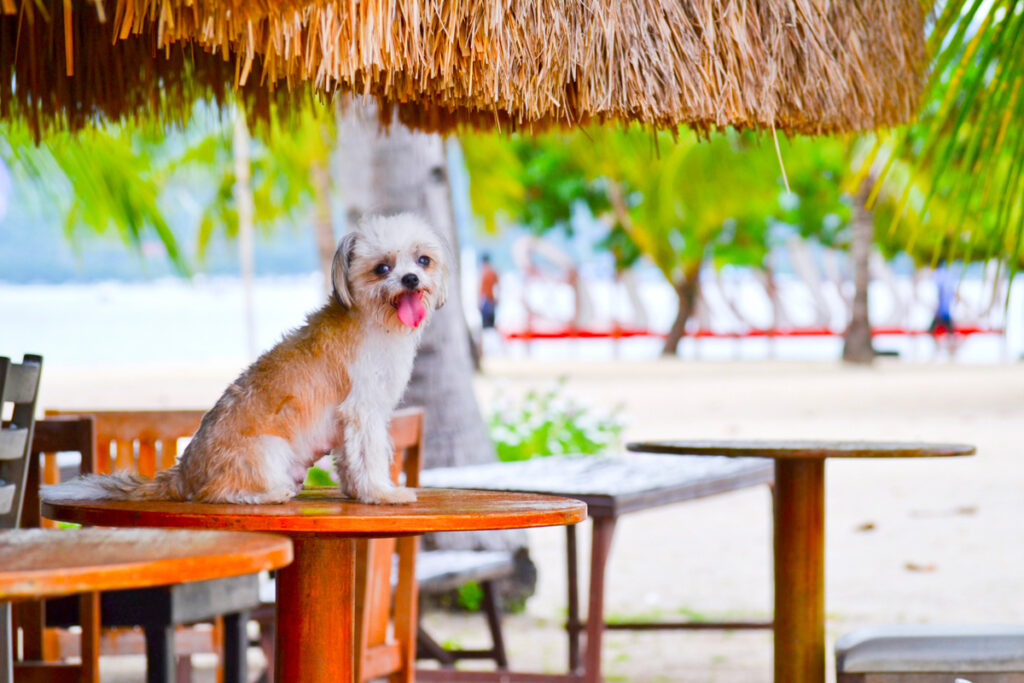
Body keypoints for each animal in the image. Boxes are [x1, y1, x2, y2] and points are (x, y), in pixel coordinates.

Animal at [41, 215, 448, 507]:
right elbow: (370, 456)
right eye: (382, 268)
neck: (371, 319)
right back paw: (269, 494)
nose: (411, 278)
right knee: (218, 493)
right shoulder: (363, 412)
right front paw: (382, 492)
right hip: (269, 450)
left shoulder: (353, 420)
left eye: (423, 260)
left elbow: (351, 461)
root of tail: (182, 474)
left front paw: (357, 490)